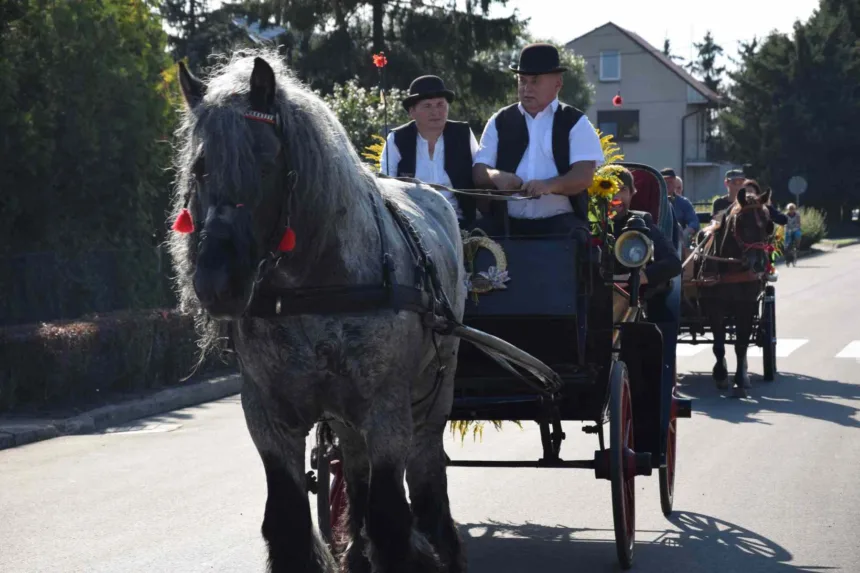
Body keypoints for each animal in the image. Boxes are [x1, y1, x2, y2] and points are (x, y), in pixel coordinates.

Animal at [165, 50, 466, 572]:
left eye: (266, 162)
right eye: (200, 168)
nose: (216, 283)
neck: (312, 290)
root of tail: (433, 195)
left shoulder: (387, 409)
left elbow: (391, 519)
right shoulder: (267, 415)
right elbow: (286, 520)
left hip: (434, 388)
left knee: (428, 465)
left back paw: (440, 542)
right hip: (346, 416)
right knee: (357, 467)